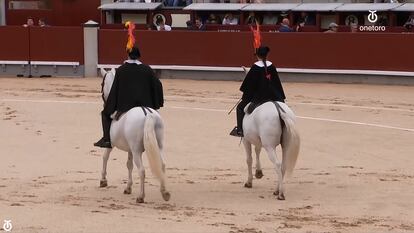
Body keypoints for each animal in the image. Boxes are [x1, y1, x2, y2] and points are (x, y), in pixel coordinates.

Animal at [98, 68, 170, 203]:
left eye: (101, 84)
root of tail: (148, 114)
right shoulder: (130, 149)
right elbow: (129, 165)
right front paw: (128, 187)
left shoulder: (111, 144)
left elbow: (105, 157)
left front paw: (103, 180)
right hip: (159, 146)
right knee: (162, 165)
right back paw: (165, 192)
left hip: (137, 151)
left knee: (141, 170)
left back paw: (141, 196)